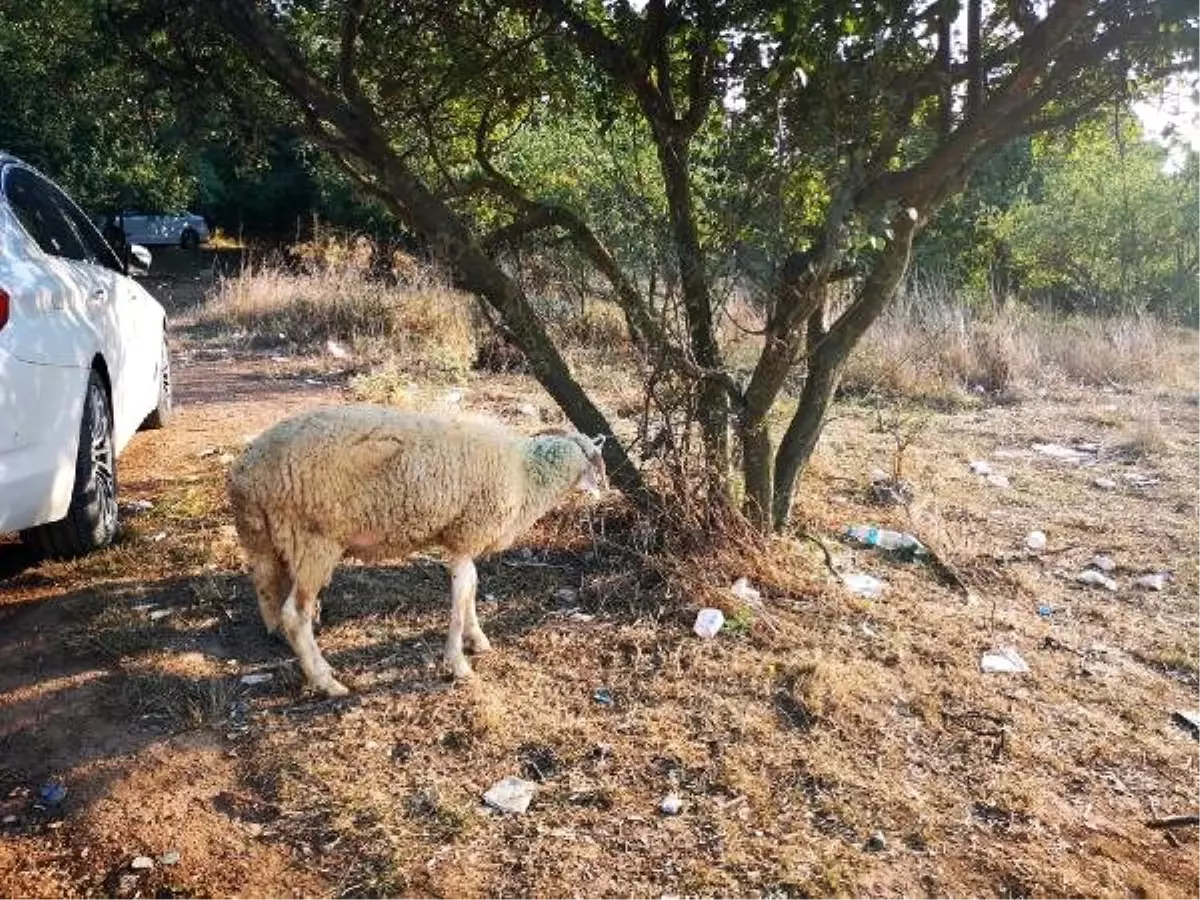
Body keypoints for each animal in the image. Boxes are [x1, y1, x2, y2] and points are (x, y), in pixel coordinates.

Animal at [225, 405, 609, 700]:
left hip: (269, 542)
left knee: (272, 598)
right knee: (295, 615)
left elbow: (472, 589)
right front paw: (458, 663)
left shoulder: (462, 539)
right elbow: (462, 593)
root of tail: (245, 474)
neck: (526, 474)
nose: (602, 494)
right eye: (597, 463)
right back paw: (326, 682)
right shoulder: (467, 533)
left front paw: (477, 639)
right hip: (313, 540)